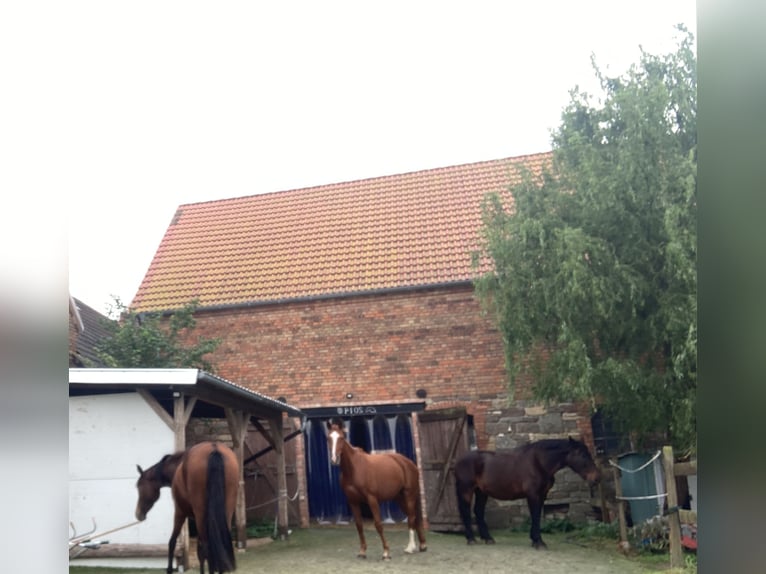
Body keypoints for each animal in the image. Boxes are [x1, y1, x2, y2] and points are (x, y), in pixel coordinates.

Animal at [134, 444, 238, 572]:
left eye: (139, 487)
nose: (138, 514)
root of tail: (214, 448)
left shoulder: (179, 513)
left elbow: (172, 542)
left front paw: (169, 569)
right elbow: (200, 552)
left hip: (200, 515)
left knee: (207, 548)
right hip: (225, 512)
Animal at [328, 418, 428, 564]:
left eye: (341, 437)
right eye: (328, 438)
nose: (334, 459)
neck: (354, 469)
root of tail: (409, 463)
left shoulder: (372, 499)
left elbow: (378, 524)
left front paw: (386, 553)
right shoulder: (353, 501)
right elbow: (359, 525)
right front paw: (362, 551)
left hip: (409, 495)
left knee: (411, 517)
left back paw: (410, 547)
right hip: (399, 498)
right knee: (414, 518)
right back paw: (422, 545)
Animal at [456, 436, 600, 552]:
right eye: (582, 455)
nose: (596, 478)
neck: (539, 462)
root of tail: (459, 460)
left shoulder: (542, 495)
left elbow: (537, 516)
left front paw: (535, 540)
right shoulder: (533, 495)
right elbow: (535, 516)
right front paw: (539, 542)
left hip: (481, 492)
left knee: (478, 511)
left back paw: (488, 538)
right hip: (466, 490)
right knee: (466, 511)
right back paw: (471, 539)